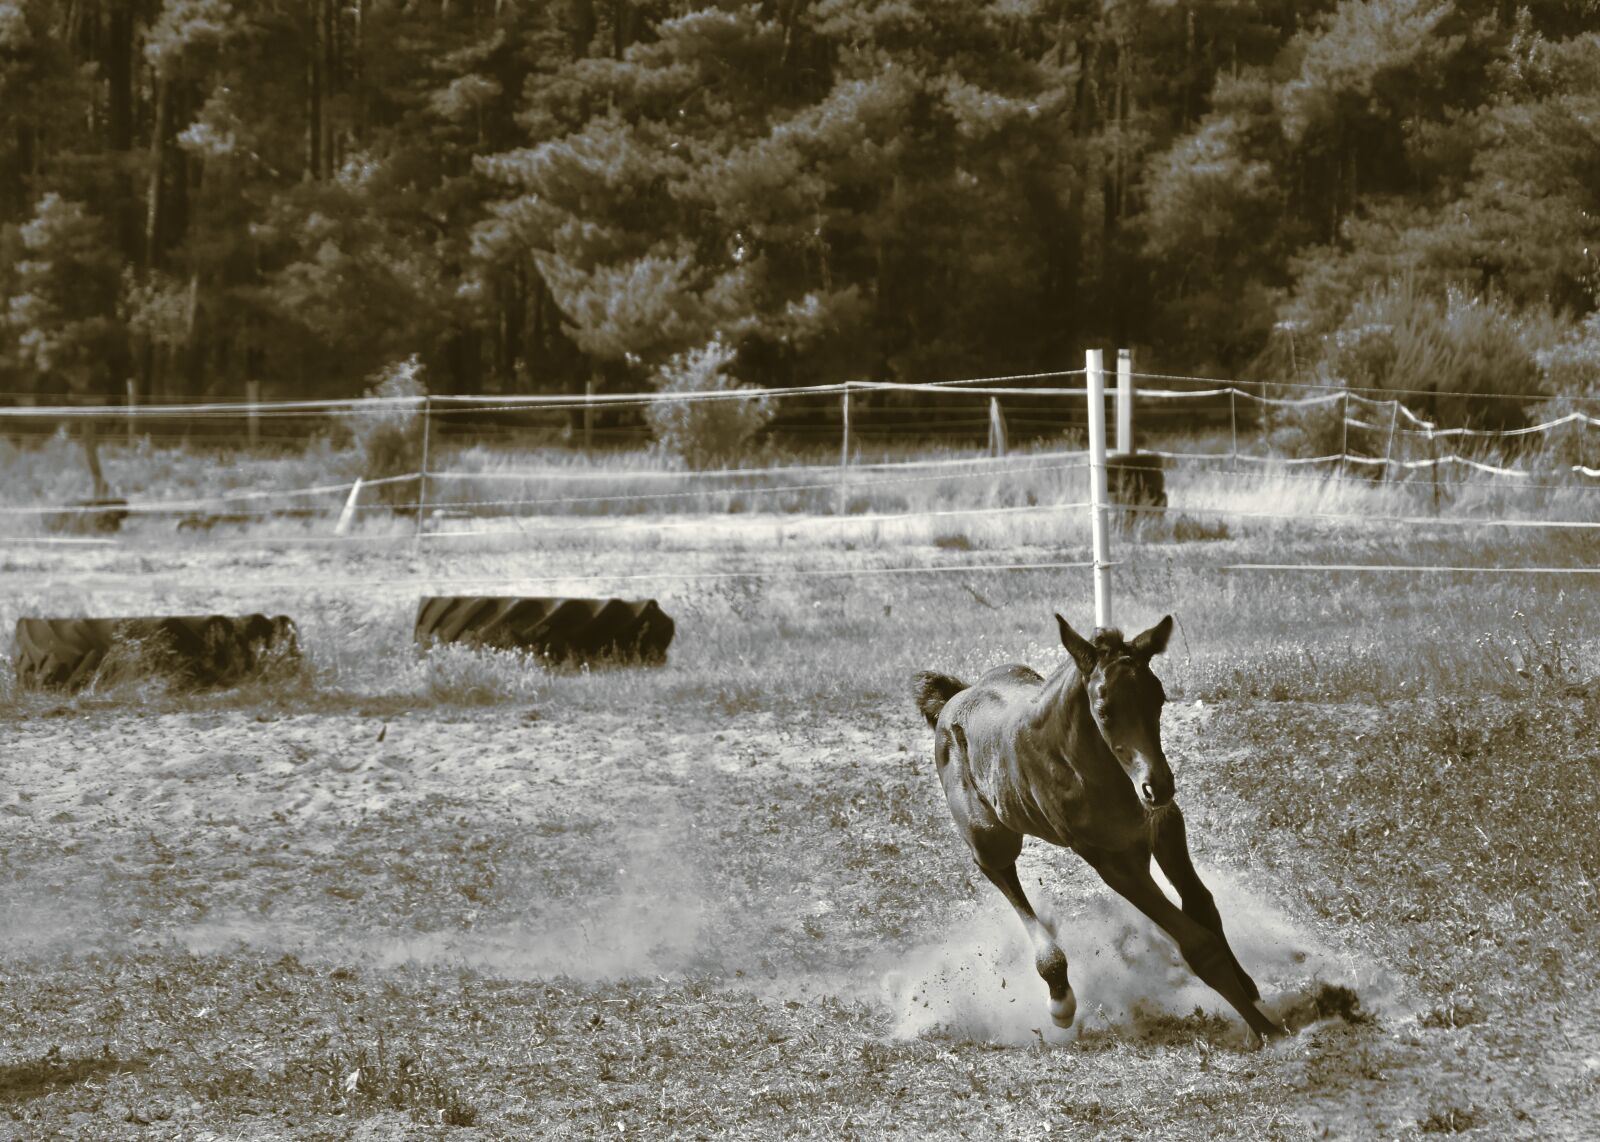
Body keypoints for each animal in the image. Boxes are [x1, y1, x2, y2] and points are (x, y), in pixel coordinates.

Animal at [913, 612, 1289, 1043]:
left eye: (1159, 699)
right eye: (1105, 710)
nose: (1158, 786)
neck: (1096, 771)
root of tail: (955, 698)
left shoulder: (1163, 827)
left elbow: (1202, 907)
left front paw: (1248, 986)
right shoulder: (1112, 862)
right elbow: (1197, 943)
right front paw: (1267, 1030)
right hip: (991, 839)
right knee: (1001, 873)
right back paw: (1059, 995)